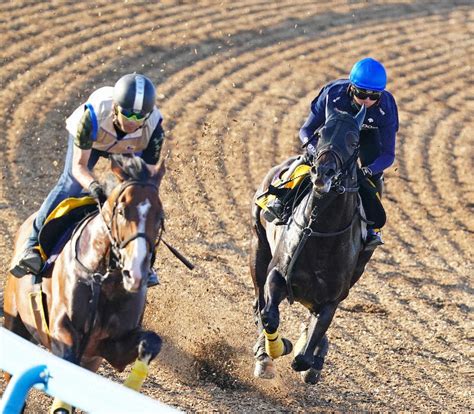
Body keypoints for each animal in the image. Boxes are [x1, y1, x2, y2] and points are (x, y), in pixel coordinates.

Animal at [3, 154, 165, 410]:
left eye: (160, 217)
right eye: (122, 210)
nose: (135, 273)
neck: (104, 281)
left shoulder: (108, 348)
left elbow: (152, 342)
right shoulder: (61, 331)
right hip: (15, 319)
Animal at [250, 99, 376, 382]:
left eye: (354, 141)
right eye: (320, 133)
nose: (323, 172)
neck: (318, 232)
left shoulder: (330, 300)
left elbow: (304, 357)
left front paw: (312, 355)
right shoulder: (277, 273)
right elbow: (269, 316)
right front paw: (276, 349)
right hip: (258, 249)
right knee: (260, 302)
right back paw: (264, 353)